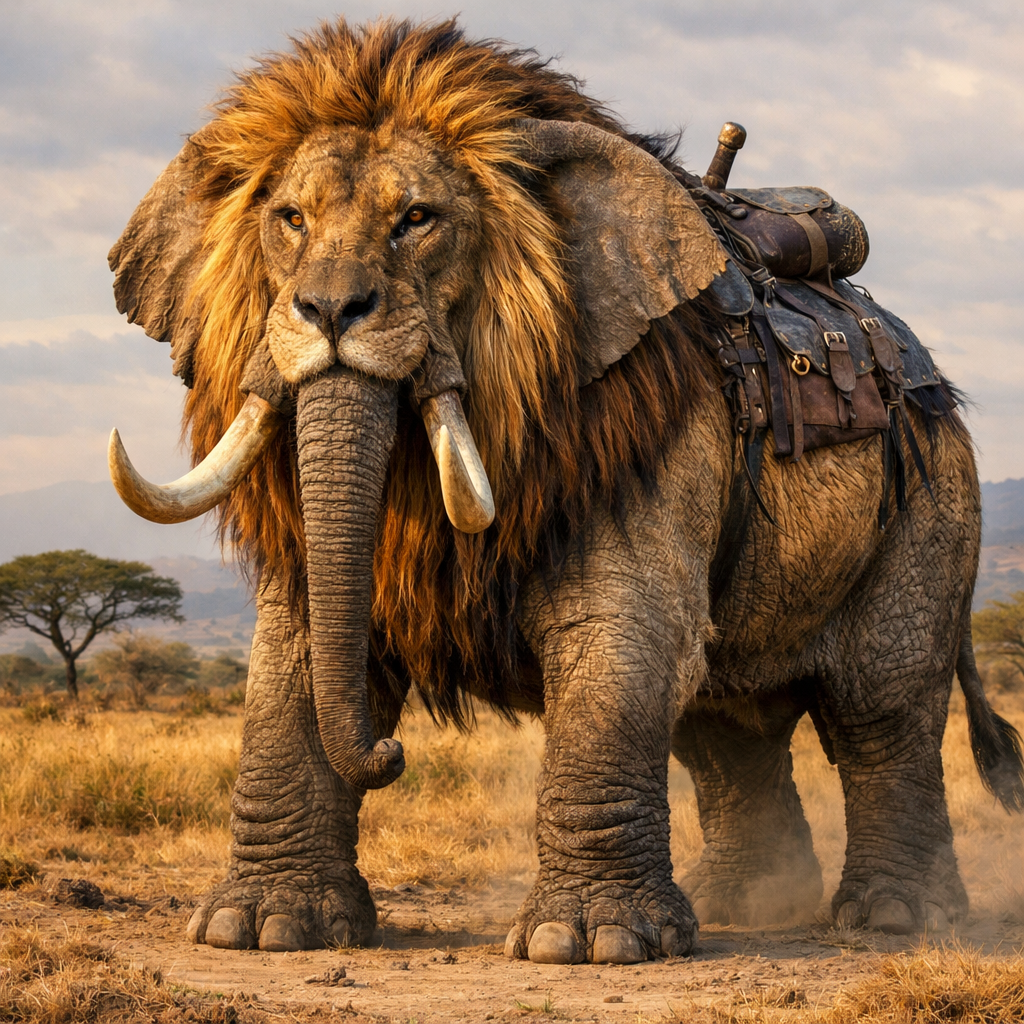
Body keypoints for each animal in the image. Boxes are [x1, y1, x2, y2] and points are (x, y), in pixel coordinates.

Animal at [107, 18, 1023, 964]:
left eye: (418, 220)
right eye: (289, 219)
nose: (394, 752)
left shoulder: (642, 433)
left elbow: (619, 642)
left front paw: (585, 944)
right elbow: (290, 660)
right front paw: (258, 930)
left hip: (932, 507)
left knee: (882, 710)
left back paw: (897, 919)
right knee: (725, 726)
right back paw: (743, 906)